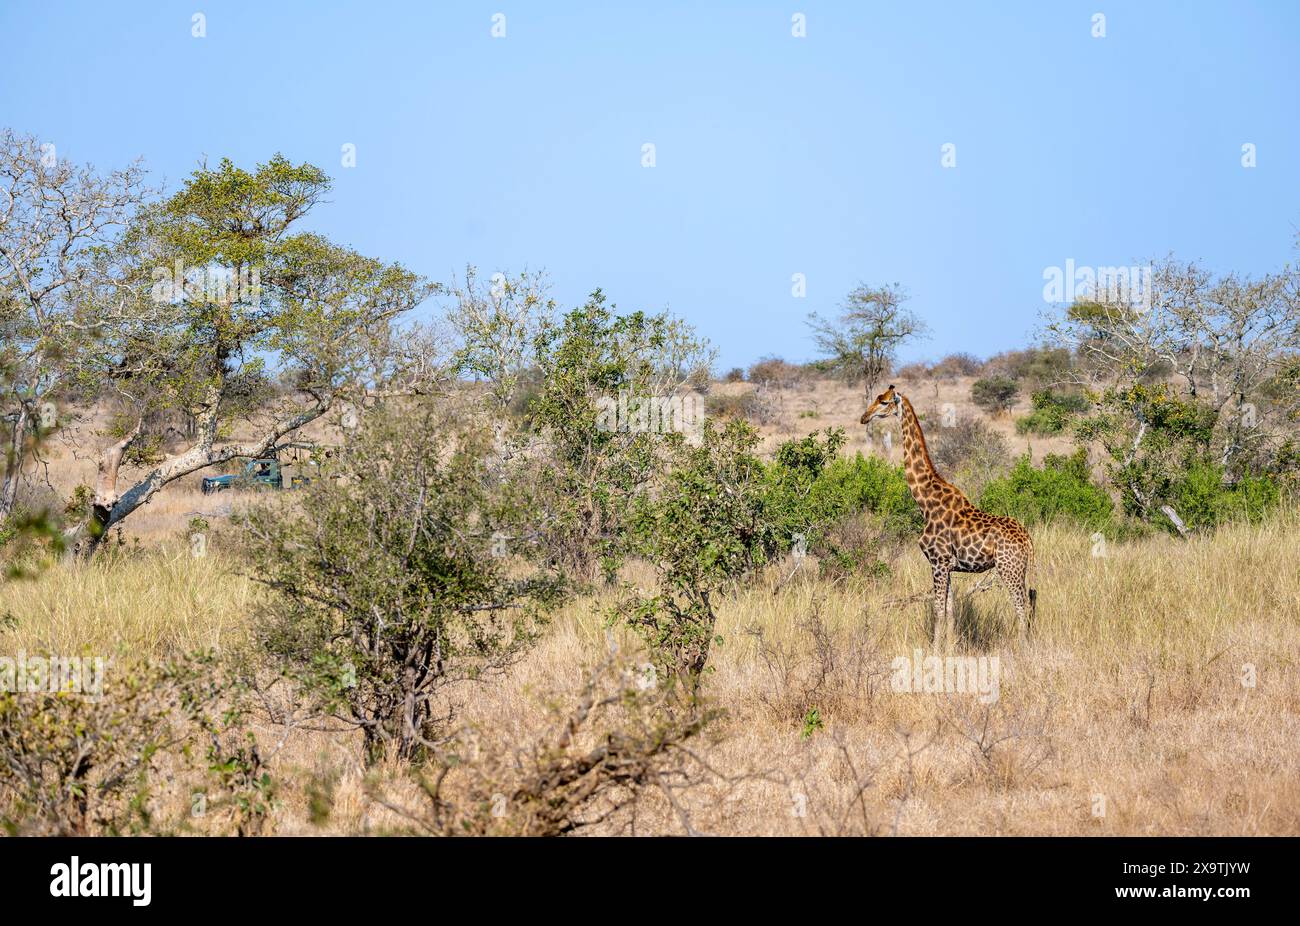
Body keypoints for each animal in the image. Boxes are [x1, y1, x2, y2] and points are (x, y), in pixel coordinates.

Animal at [861, 385, 1036, 646]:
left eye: (883, 402)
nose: (864, 417)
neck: (925, 502)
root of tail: (1028, 540)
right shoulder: (948, 566)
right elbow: (950, 610)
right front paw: (951, 646)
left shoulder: (938, 562)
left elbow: (938, 610)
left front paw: (935, 648)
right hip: (1019, 569)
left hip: (1009, 568)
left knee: (1021, 606)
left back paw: (1023, 647)